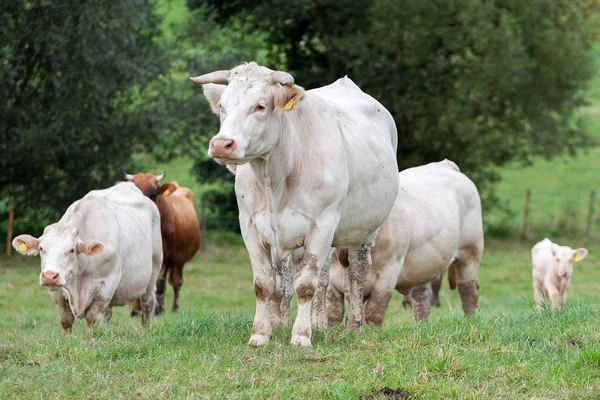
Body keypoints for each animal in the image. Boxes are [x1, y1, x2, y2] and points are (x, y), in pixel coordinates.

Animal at [12, 182, 162, 332]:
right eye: (41, 248)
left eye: (71, 250)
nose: (49, 276)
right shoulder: (57, 292)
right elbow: (66, 319)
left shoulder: (107, 283)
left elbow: (93, 318)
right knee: (107, 313)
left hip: (153, 272)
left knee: (147, 305)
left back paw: (145, 332)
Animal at [124, 173, 202, 314]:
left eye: (153, 194)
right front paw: (135, 311)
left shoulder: (165, 255)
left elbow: (160, 284)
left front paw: (159, 310)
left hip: (179, 260)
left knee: (176, 282)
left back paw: (174, 308)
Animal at [192, 61, 398, 346]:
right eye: (222, 105)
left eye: (260, 106)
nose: (222, 144)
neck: (275, 179)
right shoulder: (250, 225)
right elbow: (265, 283)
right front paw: (261, 334)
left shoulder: (323, 224)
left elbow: (306, 284)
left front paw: (301, 335)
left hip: (367, 228)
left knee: (357, 272)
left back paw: (354, 326)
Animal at [326, 161, 486, 326]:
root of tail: (446, 164)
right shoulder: (333, 281)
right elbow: (333, 314)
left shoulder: (389, 272)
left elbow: (374, 311)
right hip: (421, 263)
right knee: (421, 297)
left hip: (470, 252)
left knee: (468, 290)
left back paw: (470, 320)